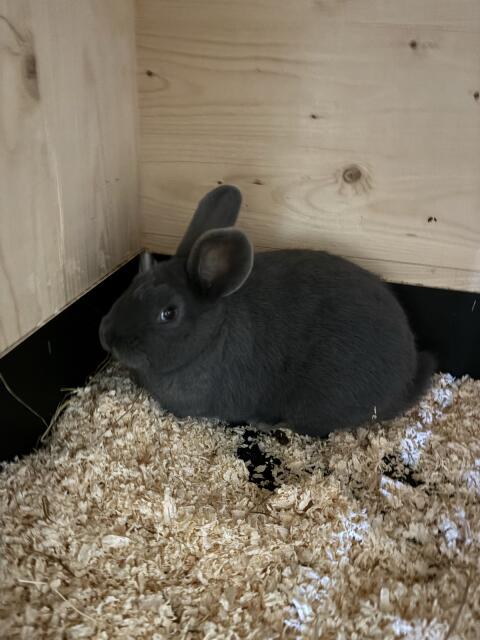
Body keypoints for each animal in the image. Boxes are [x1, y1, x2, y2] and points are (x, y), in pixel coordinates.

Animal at [99, 185, 436, 437]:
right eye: (134, 282)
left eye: (168, 313)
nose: (107, 336)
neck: (211, 339)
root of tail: (405, 381)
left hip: (317, 403)